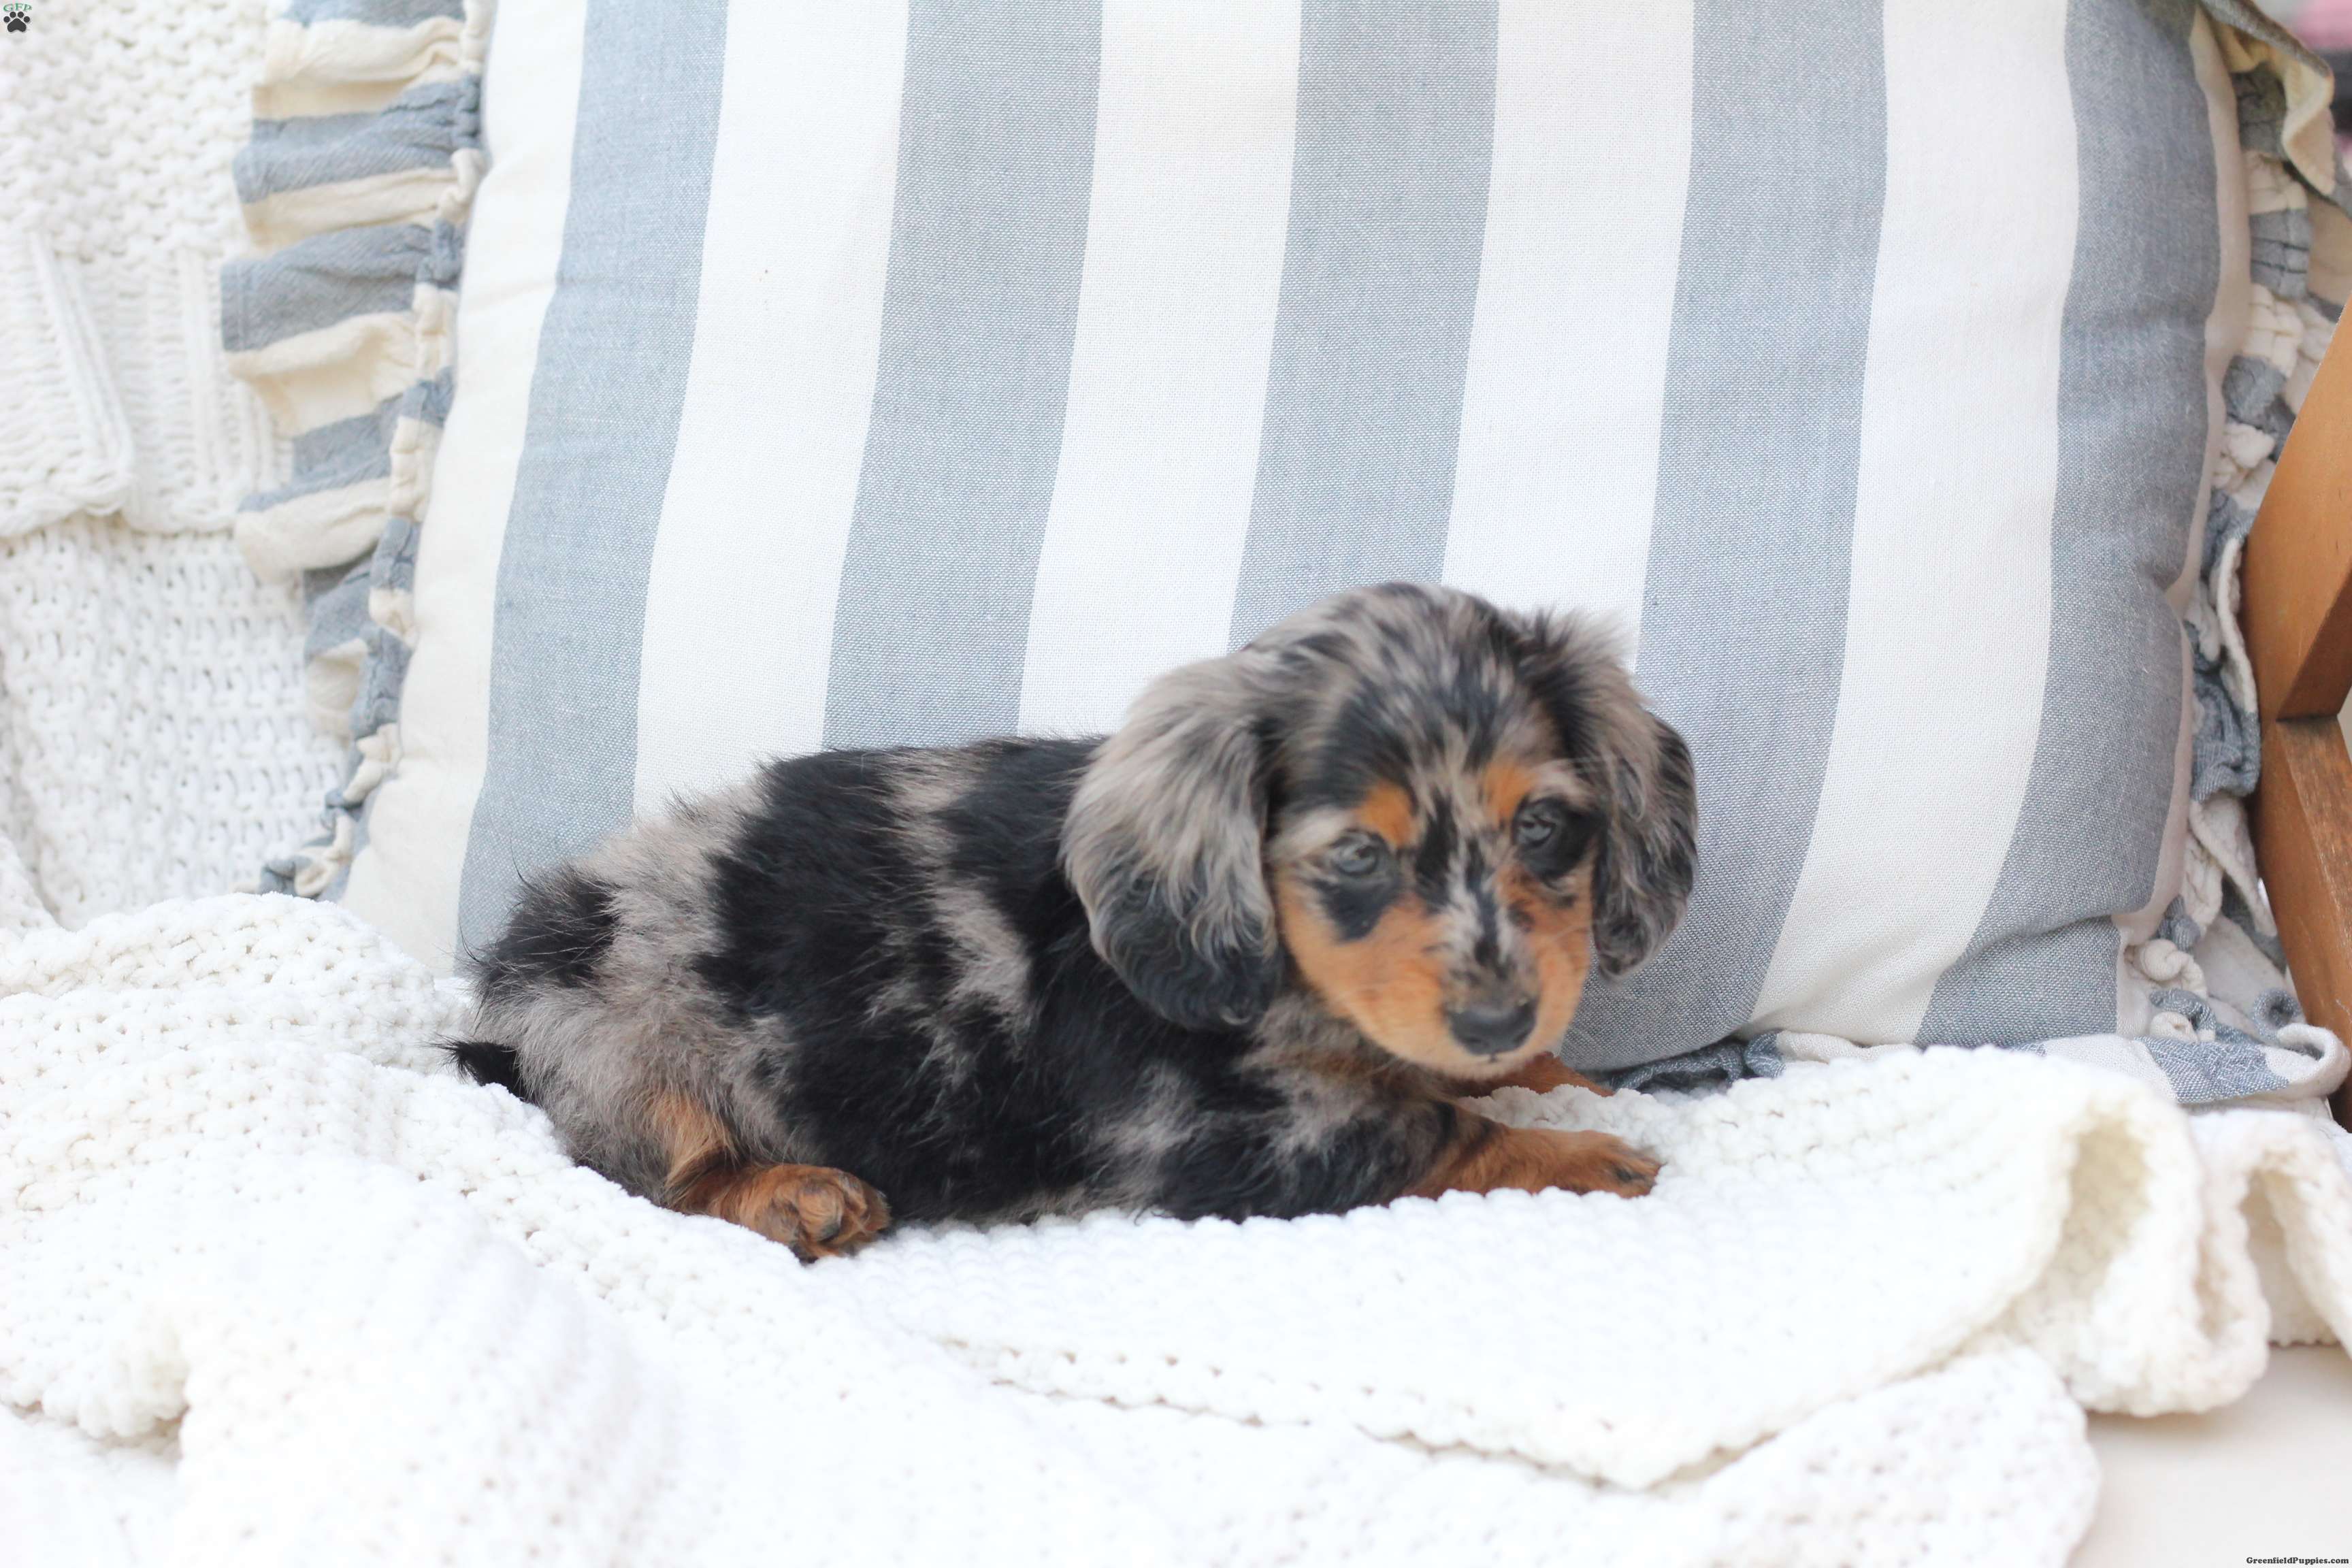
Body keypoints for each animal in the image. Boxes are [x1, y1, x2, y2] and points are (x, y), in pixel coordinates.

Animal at [451, 582, 1697, 1259]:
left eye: (1544, 825)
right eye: (1355, 854)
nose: (1499, 1020)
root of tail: (512, 978)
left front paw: (1547, 1070)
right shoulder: (1228, 1138)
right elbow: (1436, 1130)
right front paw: (1580, 1152)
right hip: (626, 1042)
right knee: (659, 1166)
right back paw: (789, 1191)